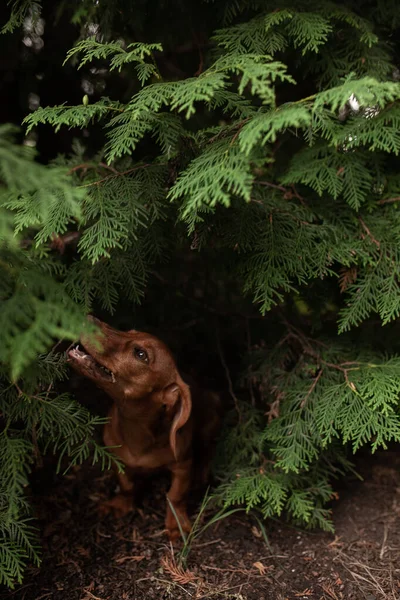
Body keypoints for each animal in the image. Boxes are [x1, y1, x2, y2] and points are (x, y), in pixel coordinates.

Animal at [67, 316, 220, 540]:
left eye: (141, 354)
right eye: (129, 331)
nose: (86, 317)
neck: (138, 432)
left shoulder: (183, 466)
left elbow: (175, 496)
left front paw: (176, 524)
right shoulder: (118, 459)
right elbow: (126, 486)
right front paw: (120, 504)